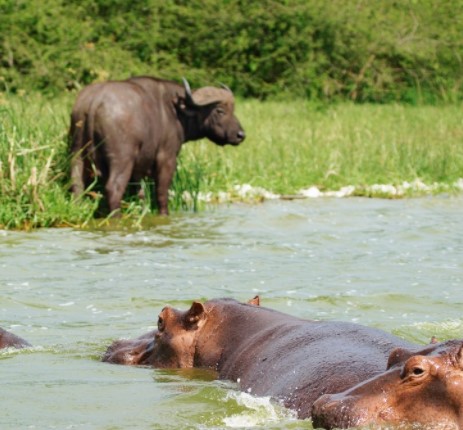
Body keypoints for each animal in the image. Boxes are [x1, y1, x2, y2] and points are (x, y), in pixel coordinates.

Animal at [70, 77, 246, 215]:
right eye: (220, 110)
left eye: (233, 109)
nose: (241, 135)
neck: (176, 112)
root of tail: (94, 101)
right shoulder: (167, 158)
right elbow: (161, 192)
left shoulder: (139, 169)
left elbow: (140, 193)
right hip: (122, 159)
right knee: (113, 188)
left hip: (77, 153)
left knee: (77, 185)